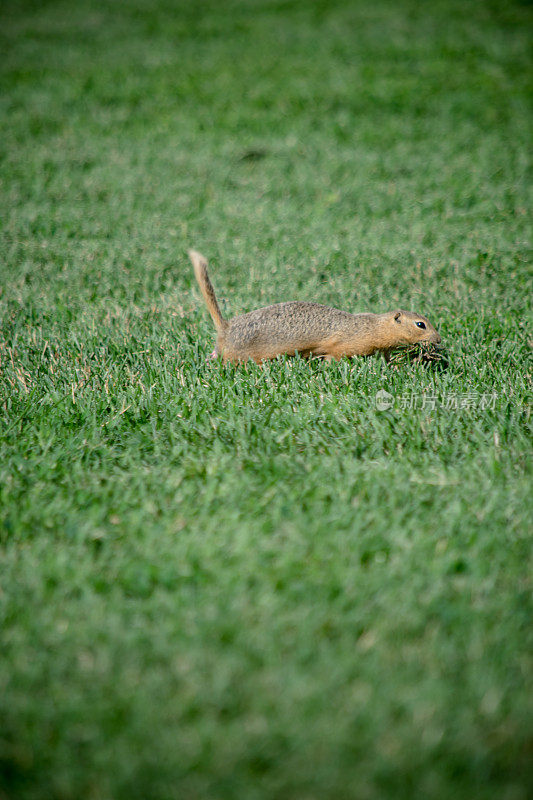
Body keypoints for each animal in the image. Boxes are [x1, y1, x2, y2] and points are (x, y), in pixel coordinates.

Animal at [188, 250, 440, 362]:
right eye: (421, 325)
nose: (438, 340)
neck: (373, 326)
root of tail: (226, 327)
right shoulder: (344, 346)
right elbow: (333, 356)